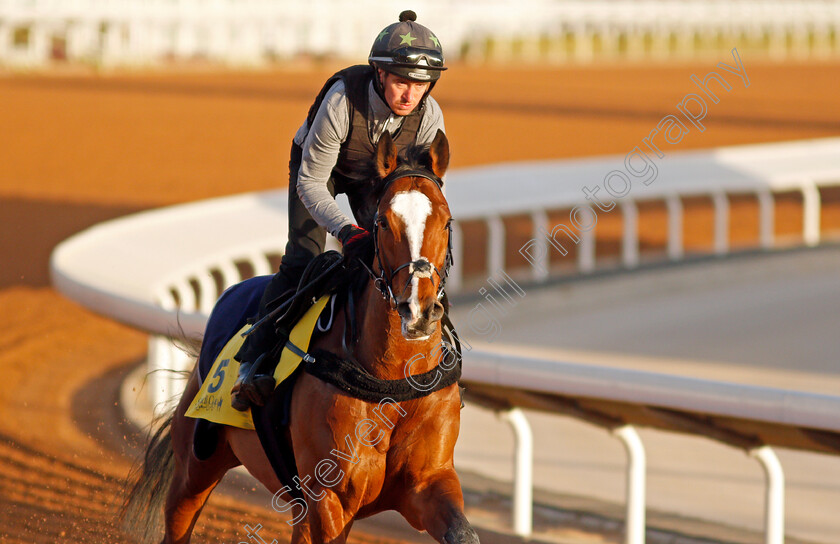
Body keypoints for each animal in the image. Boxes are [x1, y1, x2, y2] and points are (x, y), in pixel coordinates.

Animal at [121, 131, 482, 544]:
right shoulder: (328, 495)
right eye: (382, 222)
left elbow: (461, 532)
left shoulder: (428, 483)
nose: (418, 310)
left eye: (447, 221)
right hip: (195, 464)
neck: (391, 379)